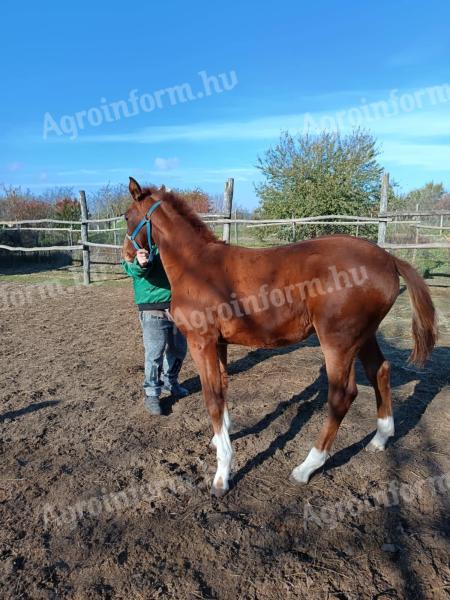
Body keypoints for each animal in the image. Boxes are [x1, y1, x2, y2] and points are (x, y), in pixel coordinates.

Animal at [123, 177, 436, 496]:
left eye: (125, 217)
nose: (128, 255)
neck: (197, 266)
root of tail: (389, 259)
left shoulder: (202, 343)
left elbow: (212, 398)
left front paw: (222, 475)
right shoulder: (219, 343)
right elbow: (223, 388)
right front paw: (220, 440)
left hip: (338, 341)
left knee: (342, 395)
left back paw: (306, 467)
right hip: (365, 336)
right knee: (380, 372)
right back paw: (380, 438)